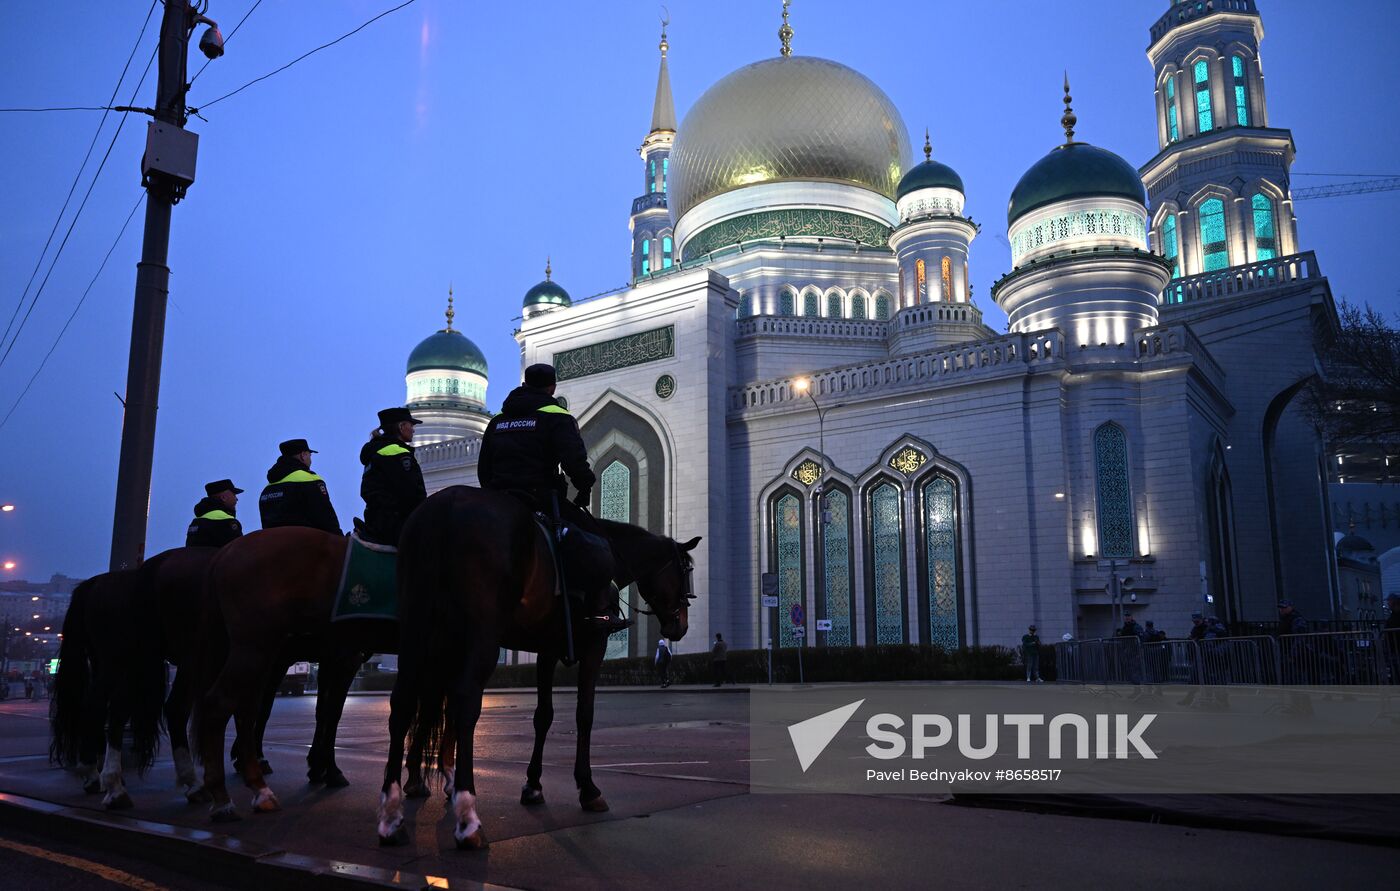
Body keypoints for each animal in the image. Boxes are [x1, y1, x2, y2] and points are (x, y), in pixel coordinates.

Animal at [375, 487, 697, 851]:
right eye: (685, 573)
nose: (680, 627)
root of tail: (446, 504)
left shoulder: (547, 649)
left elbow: (543, 715)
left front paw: (532, 785)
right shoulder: (594, 644)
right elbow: (584, 714)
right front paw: (588, 788)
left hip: (419, 625)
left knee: (405, 702)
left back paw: (393, 812)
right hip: (480, 630)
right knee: (465, 701)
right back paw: (467, 814)